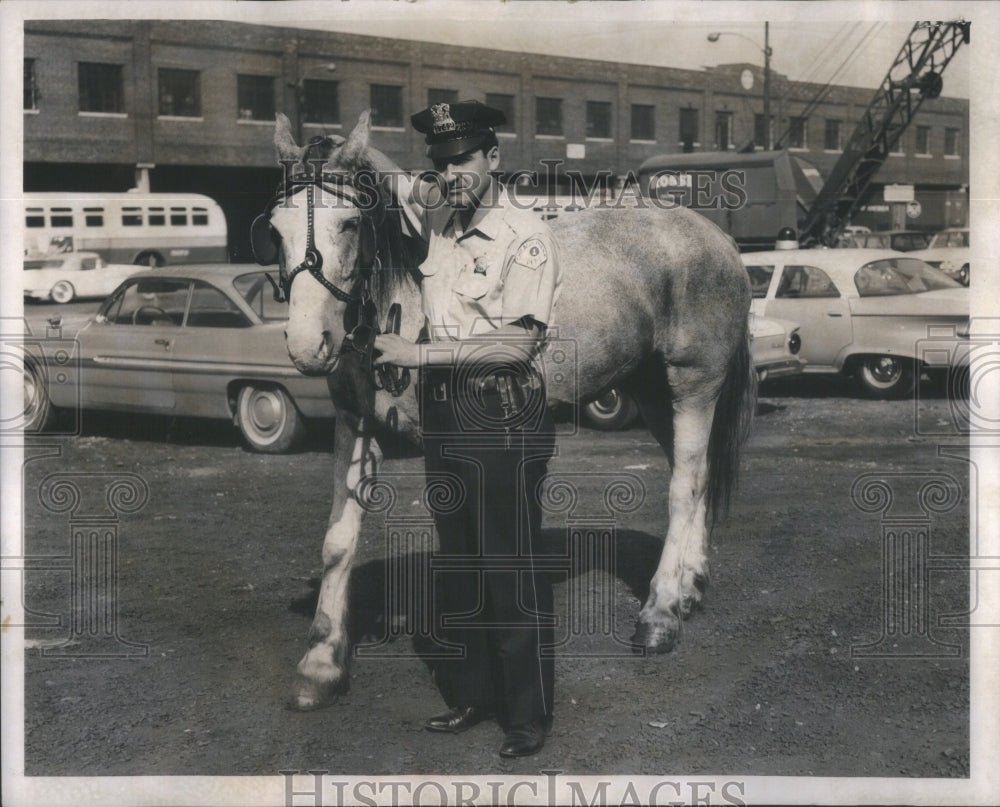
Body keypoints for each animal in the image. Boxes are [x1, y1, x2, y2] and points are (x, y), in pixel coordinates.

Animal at [262, 110, 752, 712]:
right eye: (275, 229)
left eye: (352, 223)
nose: (309, 344)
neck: (402, 298)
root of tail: (716, 237)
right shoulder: (355, 426)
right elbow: (337, 542)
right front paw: (322, 663)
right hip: (657, 393)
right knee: (697, 474)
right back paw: (689, 586)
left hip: (693, 384)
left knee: (685, 486)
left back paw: (661, 612)